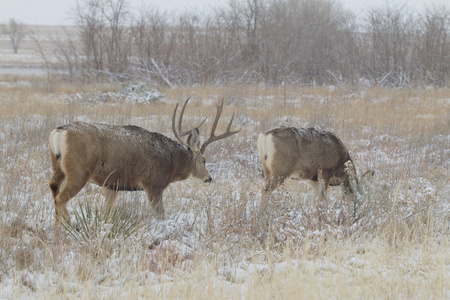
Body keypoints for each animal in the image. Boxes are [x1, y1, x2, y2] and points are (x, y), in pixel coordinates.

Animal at [48, 99, 239, 220]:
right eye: (205, 159)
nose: (209, 178)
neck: (173, 161)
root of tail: (60, 131)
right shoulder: (154, 183)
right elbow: (160, 215)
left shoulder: (111, 184)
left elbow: (107, 213)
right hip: (79, 171)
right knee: (60, 199)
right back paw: (73, 225)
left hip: (58, 168)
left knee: (53, 189)